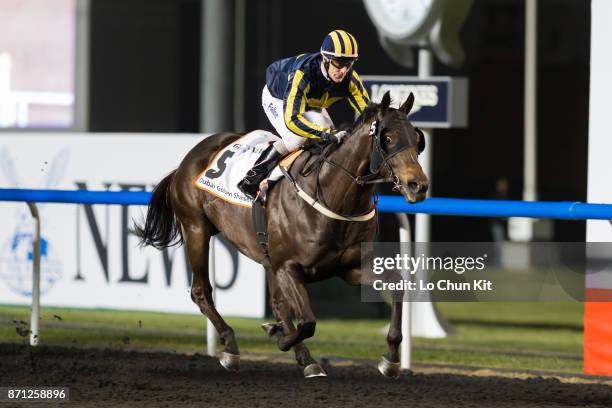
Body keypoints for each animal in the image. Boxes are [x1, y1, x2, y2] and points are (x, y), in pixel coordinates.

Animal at [136, 91, 428, 378]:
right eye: (388, 138)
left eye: (417, 140)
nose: (419, 185)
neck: (333, 196)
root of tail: (188, 160)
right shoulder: (288, 267)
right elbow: (307, 321)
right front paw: (279, 335)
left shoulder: (350, 267)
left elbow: (398, 284)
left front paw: (391, 360)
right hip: (196, 229)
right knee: (201, 292)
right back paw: (231, 348)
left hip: (265, 256)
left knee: (277, 303)